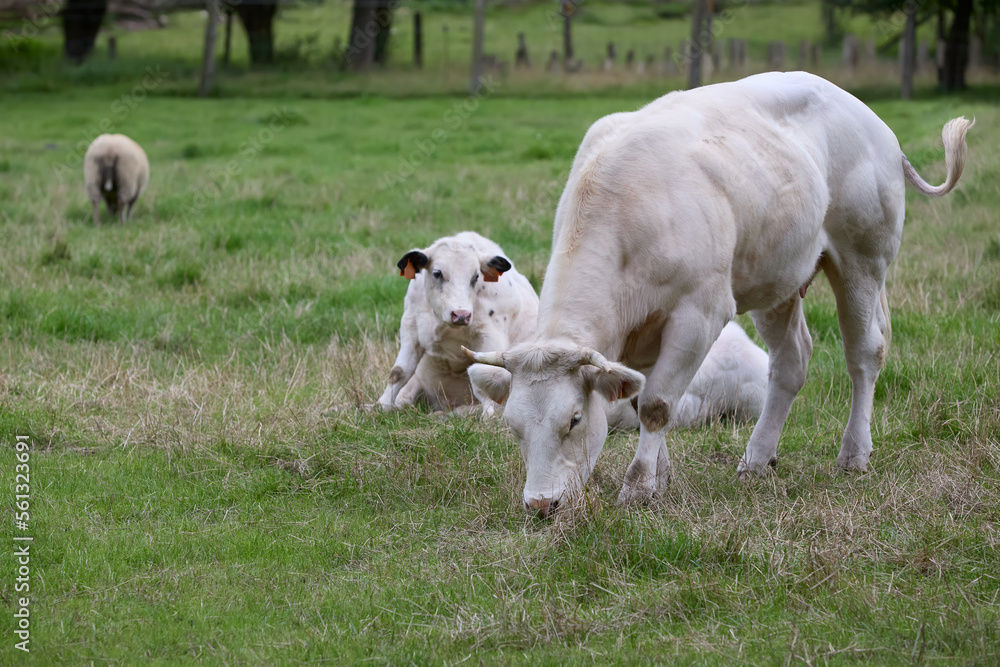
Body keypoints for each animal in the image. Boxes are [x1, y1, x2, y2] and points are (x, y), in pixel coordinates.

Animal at [465, 71, 972, 516]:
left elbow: (656, 405)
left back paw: (853, 455)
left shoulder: (701, 312)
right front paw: (661, 476)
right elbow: (641, 399)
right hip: (777, 279)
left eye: (572, 419)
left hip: (862, 259)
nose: (541, 506)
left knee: (864, 352)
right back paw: (756, 458)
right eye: (513, 426)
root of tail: (871, 119)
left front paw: (639, 488)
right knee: (791, 362)